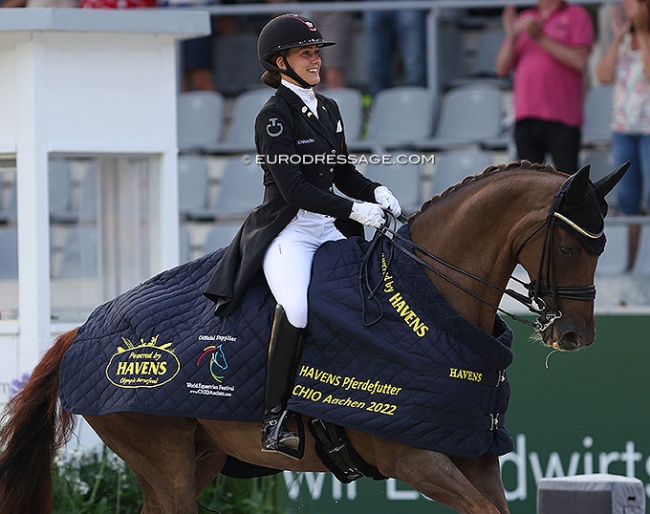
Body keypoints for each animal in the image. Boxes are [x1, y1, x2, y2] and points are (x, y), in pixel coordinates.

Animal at [0, 160, 628, 512]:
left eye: (603, 246)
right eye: (567, 245)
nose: (574, 334)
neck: (432, 306)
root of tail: (81, 328)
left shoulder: (471, 455)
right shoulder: (415, 458)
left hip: (198, 457)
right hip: (163, 455)